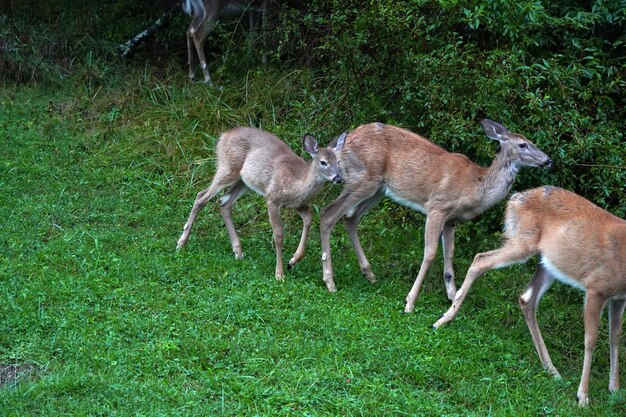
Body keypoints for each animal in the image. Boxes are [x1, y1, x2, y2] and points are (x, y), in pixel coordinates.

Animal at [176, 125, 346, 278]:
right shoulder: (272, 199)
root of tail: (224, 136)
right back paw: (181, 243)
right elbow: (278, 235)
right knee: (201, 196)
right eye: (323, 162)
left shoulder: (299, 204)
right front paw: (279, 274)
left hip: (243, 181)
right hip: (228, 168)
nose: (338, 178)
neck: (296, 183)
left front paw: (293, 260)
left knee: (224, 203)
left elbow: (309, 220)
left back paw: (238, 251)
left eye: (338, 162)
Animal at [316, 120, 552, 312]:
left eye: (531, 141)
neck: (475, 186)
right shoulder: (437, 207)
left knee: (350, 218)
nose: (548, 160)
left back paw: (369, 274)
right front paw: (410, 302)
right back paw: (329, 281)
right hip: (364, 178)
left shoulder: (451, 219)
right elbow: (430, 253)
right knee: (328, 214)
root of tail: (344, 144)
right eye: (523, 145)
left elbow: (450, 254)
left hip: (378, 189)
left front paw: (452, 296)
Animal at [432, 186, 624, 406]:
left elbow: (615, 337)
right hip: (523, 243)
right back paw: (443, 320)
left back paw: (551, 369)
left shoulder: (619, 297)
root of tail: (515, 198)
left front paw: (615, 389)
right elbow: (591, 340)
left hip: (547, 262)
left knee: (526, 298)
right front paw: (583, 396)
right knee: (480, 259)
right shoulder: (596, 288)